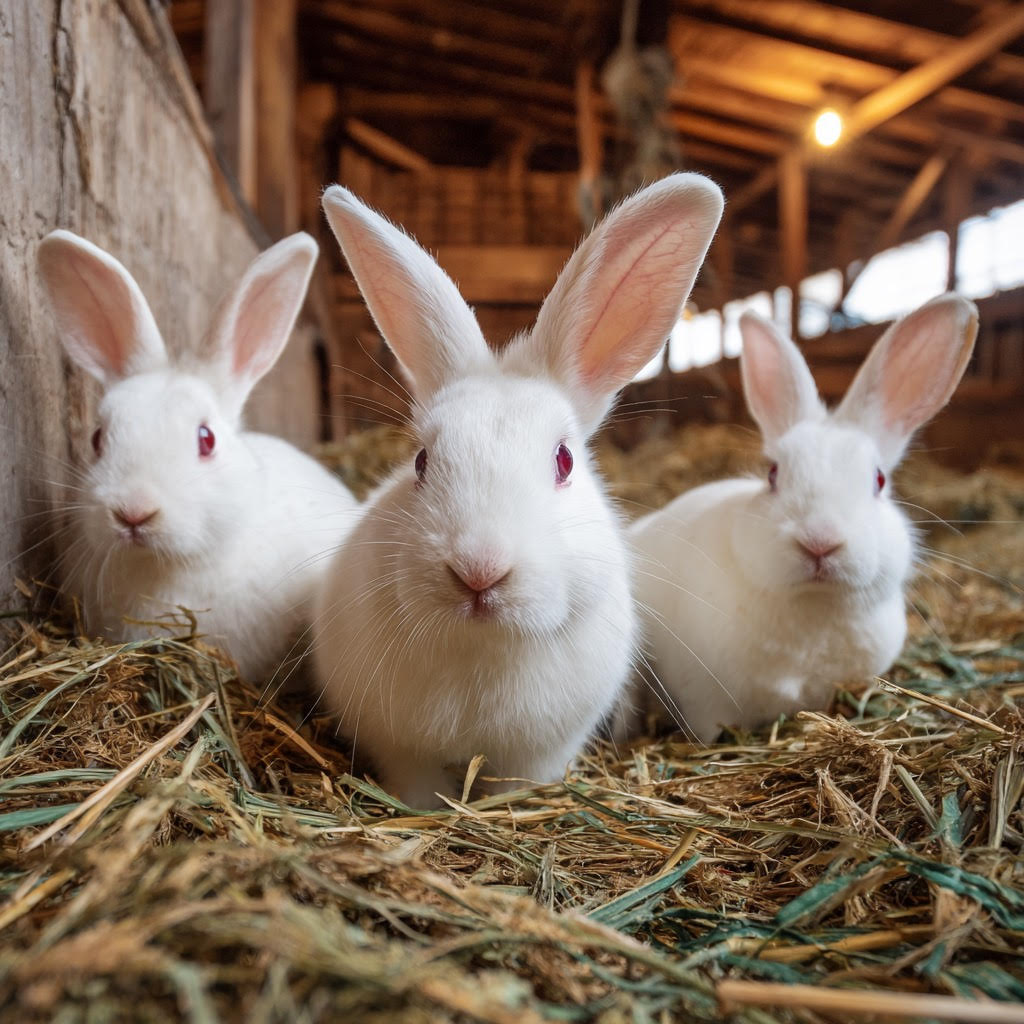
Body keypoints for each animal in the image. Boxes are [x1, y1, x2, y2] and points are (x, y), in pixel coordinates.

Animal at [313, 174, 724, 808]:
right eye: (422, 461)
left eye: (563, 460)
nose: (479, 570)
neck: (483, 648)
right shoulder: (399, 747)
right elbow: (419, 786)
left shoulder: (545, 748)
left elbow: (522, 781)